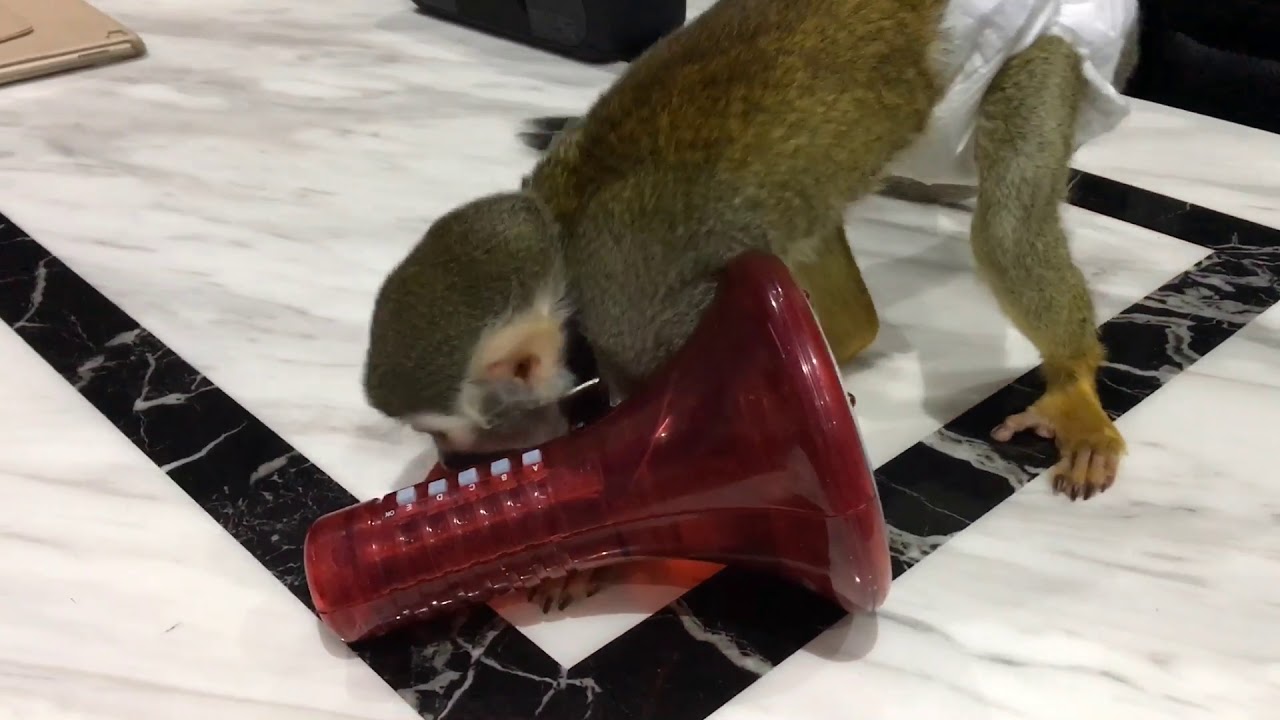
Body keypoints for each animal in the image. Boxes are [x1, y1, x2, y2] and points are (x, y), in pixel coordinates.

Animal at [363, 0, 1141, 609]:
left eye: (449, 432)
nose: (450, 460)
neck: (565, 242)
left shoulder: (637, 311)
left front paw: (602, 554)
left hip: (1050, 47)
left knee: (1006, 225)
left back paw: (1072, 379)